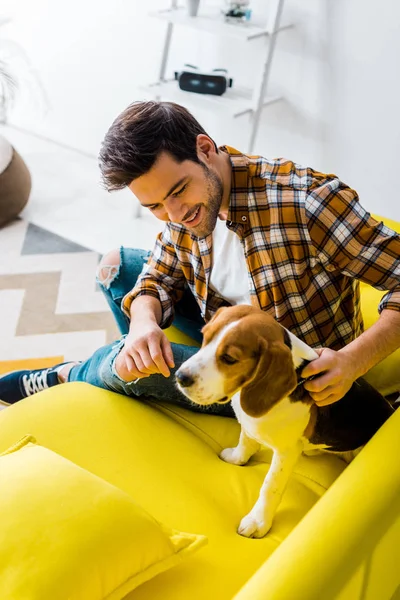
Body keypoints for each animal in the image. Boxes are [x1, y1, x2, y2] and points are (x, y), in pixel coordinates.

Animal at [176, 304, 394, 540]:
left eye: (229, 358)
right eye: (204, 336)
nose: (180, 377)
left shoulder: (287, 451)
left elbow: (270, 485)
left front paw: (258, 521)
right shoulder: (249, 426)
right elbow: (245, 440)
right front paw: (237, 457)